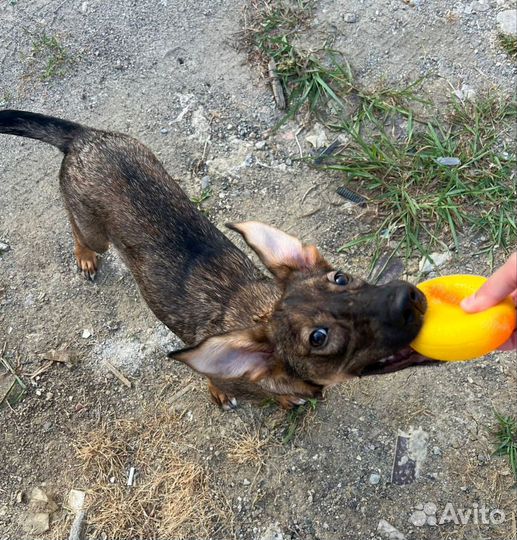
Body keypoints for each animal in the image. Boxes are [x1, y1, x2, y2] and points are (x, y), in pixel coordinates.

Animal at [0, 109, 432, 410]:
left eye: (340, 278)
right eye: (318, 338)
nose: (408, 298)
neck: (257, 312)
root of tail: (85, 137)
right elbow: (216, 380)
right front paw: (232, 394)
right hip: (94, 231)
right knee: (77, 231)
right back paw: (85, 258)